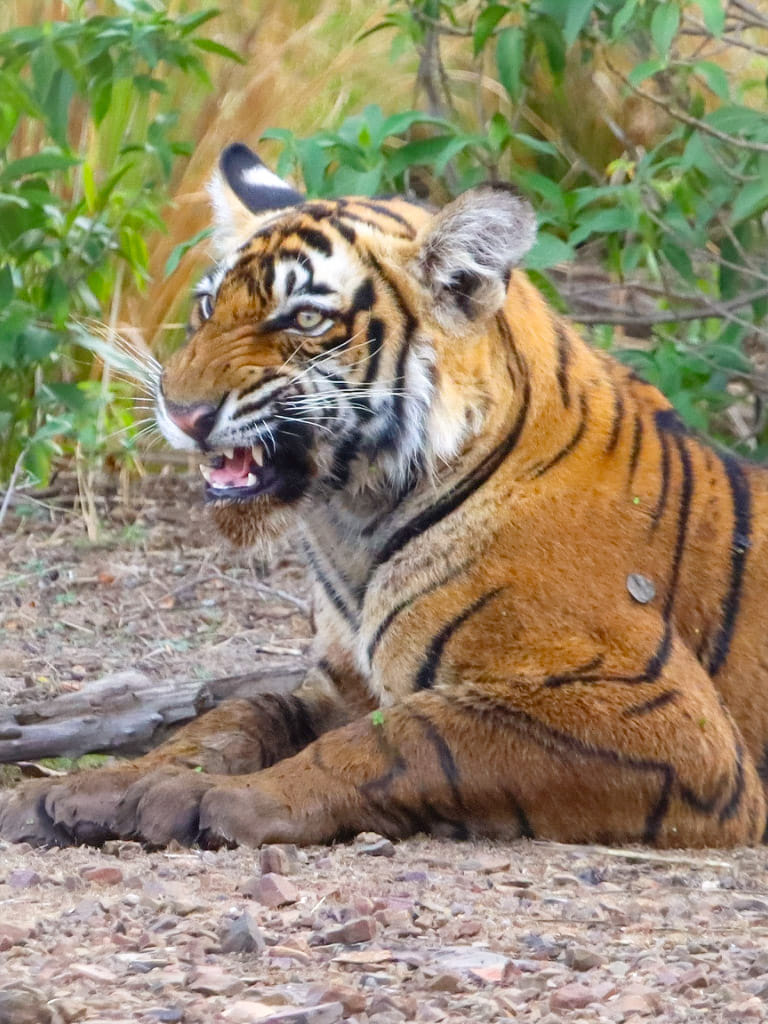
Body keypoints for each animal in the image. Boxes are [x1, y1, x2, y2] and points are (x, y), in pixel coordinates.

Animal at [2, 142, 767, 850]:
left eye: (305, 321)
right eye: (208, 306)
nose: (182, 412)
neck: (354, 521)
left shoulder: (669, 721)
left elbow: (405, 738)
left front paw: (215, 801)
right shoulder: (340, 683)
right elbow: (240, 713)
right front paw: (97, 787)